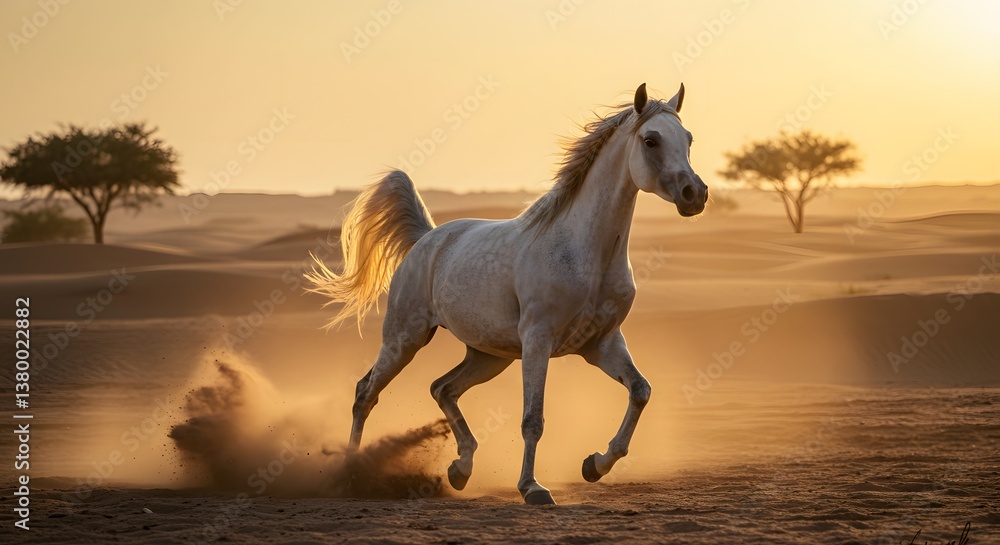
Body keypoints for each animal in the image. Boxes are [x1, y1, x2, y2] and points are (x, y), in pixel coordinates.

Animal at [307, 83, 708, 505]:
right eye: (651, 140)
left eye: (688, 139)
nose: (694, 194)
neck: (586, 253)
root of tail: (426, 239)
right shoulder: (538, 341)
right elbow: (533, 419)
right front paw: (533, 488)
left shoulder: (602, 344)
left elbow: (640, 391)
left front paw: (595, 465)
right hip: (405, 338)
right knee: (366, 392)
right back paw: (352, 474)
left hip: (489, 355)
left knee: (442, 388)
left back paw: (461, 469)